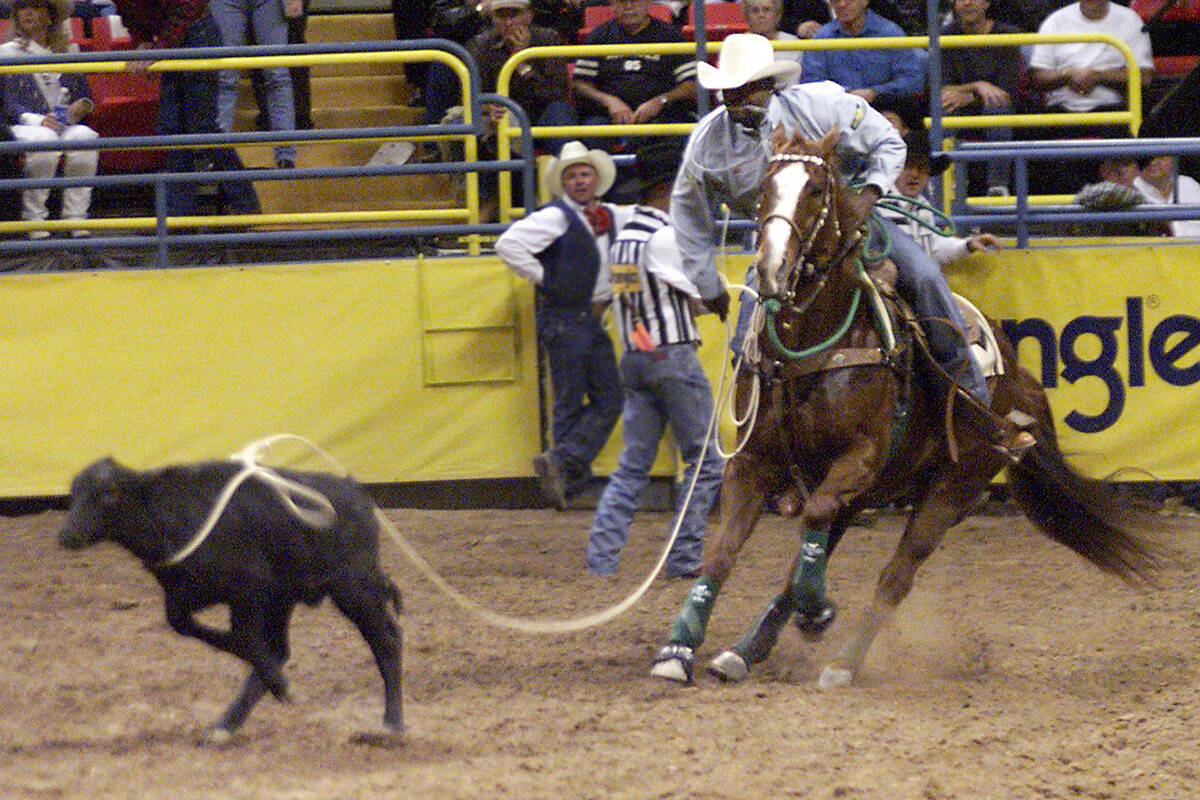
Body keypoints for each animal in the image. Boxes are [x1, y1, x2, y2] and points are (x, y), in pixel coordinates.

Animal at [652, 130, 1166, 690]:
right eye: (764, 188)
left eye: (816, 190)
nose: (771, 268)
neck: (813, 349)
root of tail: (1018, 385)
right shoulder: (752, 463)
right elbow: (722, 553)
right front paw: (677, 649)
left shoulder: (861, 458)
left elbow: (813, 520)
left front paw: (817, 615)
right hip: (869, 494)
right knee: (810, 554)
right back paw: (747, 649)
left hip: (949, 490)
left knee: (893, 577)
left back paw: (842, 661)